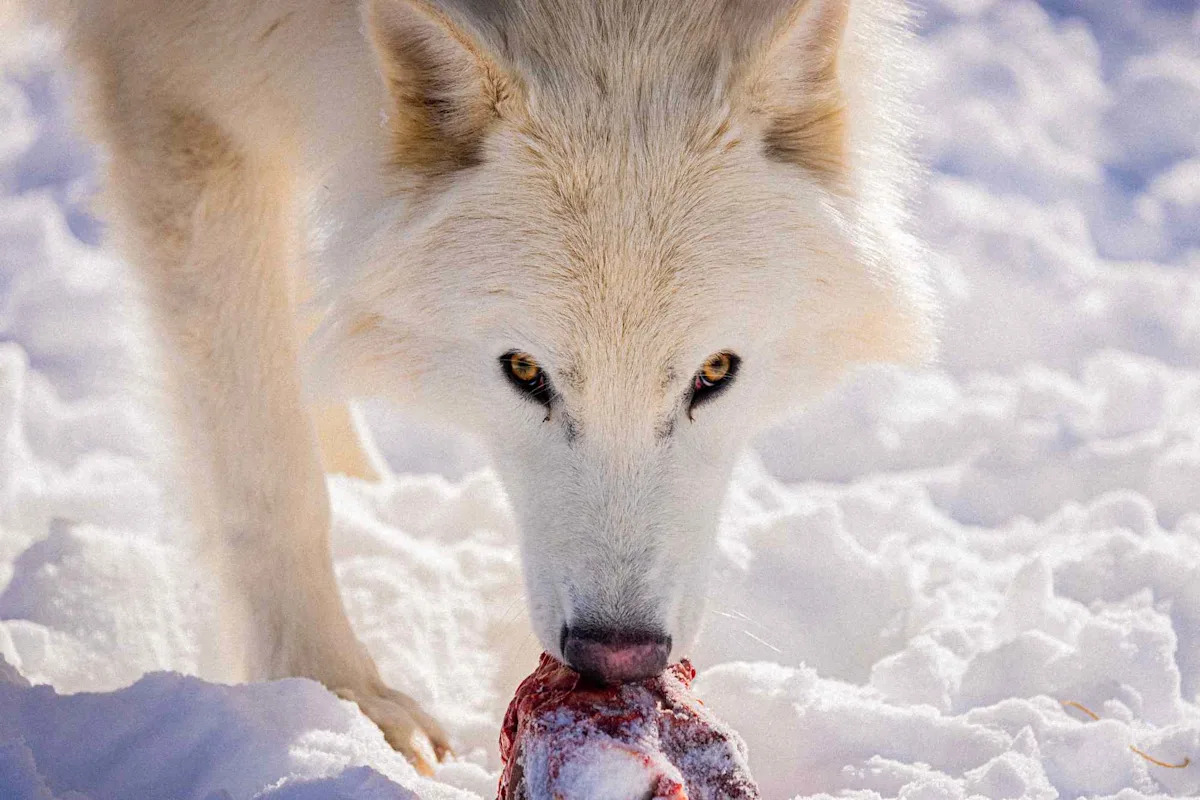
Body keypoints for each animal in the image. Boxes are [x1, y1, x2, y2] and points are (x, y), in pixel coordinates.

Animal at [29, 0, 935, 773]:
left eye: (713, 374)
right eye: (524, 373)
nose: (616, 654)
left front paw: (374, 501)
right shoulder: (180, 94)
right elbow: (270, 471)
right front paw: (338, 699)